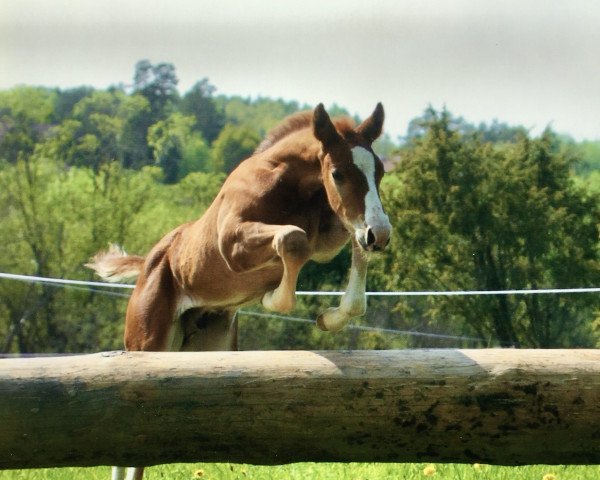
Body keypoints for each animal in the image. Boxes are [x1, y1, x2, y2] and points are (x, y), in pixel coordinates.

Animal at [86, 102, 392, 480]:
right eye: (338, 174)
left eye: (380, 172)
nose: (381, 233)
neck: (291, 186)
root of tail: (146, 266)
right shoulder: (234, 245)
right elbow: (291, 239)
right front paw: (272, 297)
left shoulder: (331, 237)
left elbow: (351, 251)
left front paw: (330, 318)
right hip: (148, 342)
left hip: (204, 350)